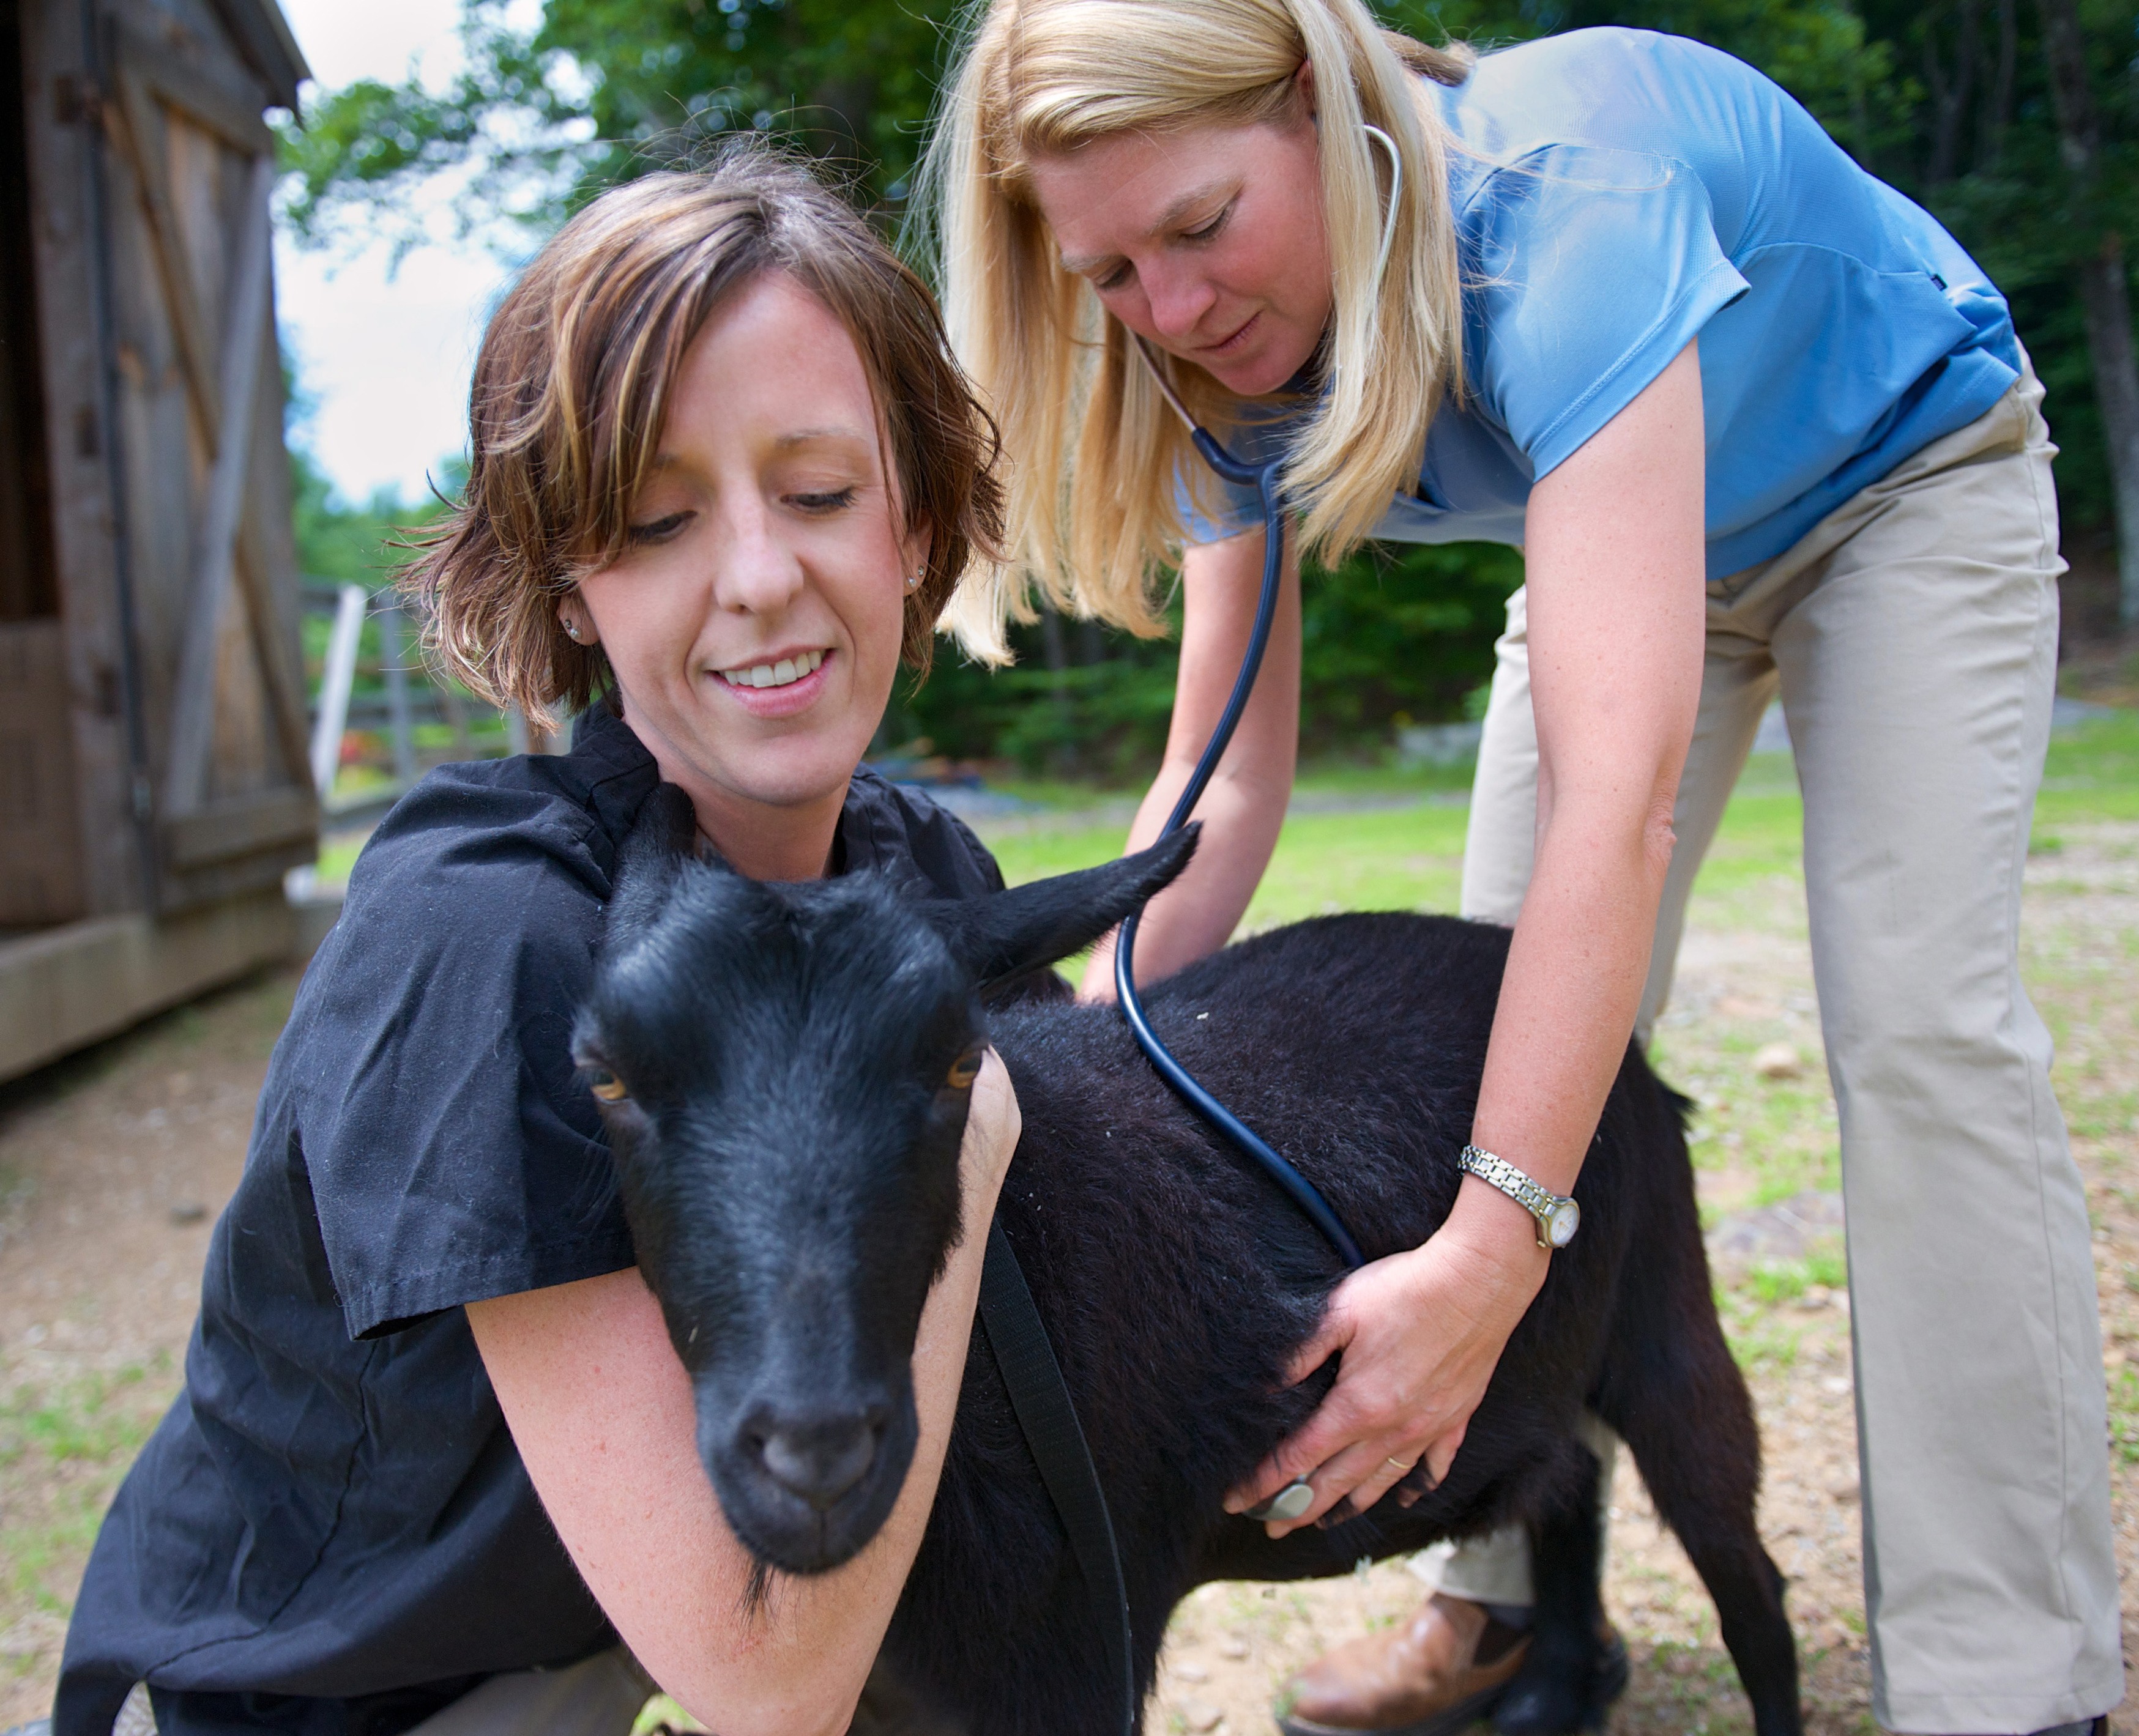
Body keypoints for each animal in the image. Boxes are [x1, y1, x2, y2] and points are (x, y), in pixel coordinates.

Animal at [574, 786, 1800, 1736]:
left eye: (964, 1059)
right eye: (604, 1072)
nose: (815, 1450)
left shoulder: (1070, 1652)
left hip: (1667, 1309)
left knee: (1743, 1570)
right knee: (1569, 1482)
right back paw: (1553, 1691)